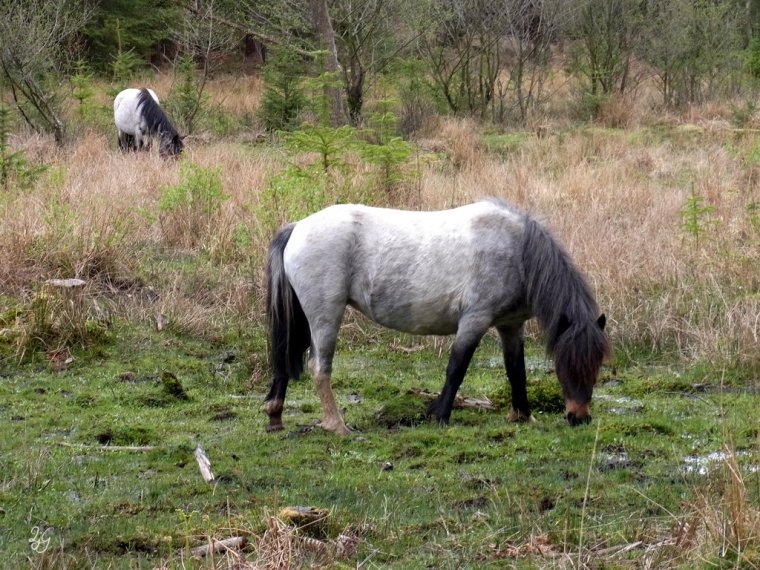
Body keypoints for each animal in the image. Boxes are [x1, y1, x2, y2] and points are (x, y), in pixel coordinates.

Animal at [265, 199, 609, 435]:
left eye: (596, 365)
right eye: (565, 364)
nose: (579, 417)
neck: (516, 251)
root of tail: (298, 227)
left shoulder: (511, 326)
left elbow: (516, 370)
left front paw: (522, 415)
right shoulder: (474, 321)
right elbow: (456, 368)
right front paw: (440, 416)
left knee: (285, 358)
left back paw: (275, 415)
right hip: (325, 315)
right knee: (319, 367)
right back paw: (337, 425)